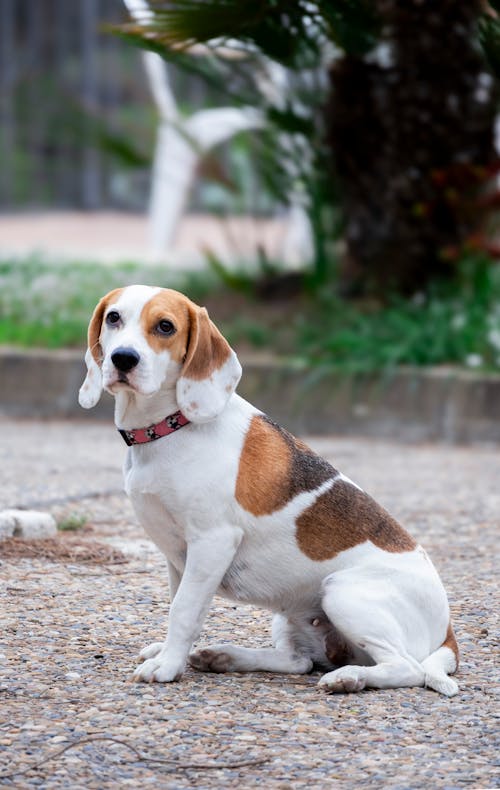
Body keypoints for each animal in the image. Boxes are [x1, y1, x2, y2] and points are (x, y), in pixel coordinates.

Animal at [80, 288, 458, 696]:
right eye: (114, 318)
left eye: (165, 326)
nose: (123, 358)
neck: (170, 427)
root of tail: (448, 633)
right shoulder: (178, 555)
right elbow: (177, 604)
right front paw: (170, 652)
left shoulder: (212, 542)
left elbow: (183, 611)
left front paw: (166, 665)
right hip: (294, 617)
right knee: (299, 661)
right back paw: (225, 657)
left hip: (342, 591)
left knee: (407, 669)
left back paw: (349, 678)